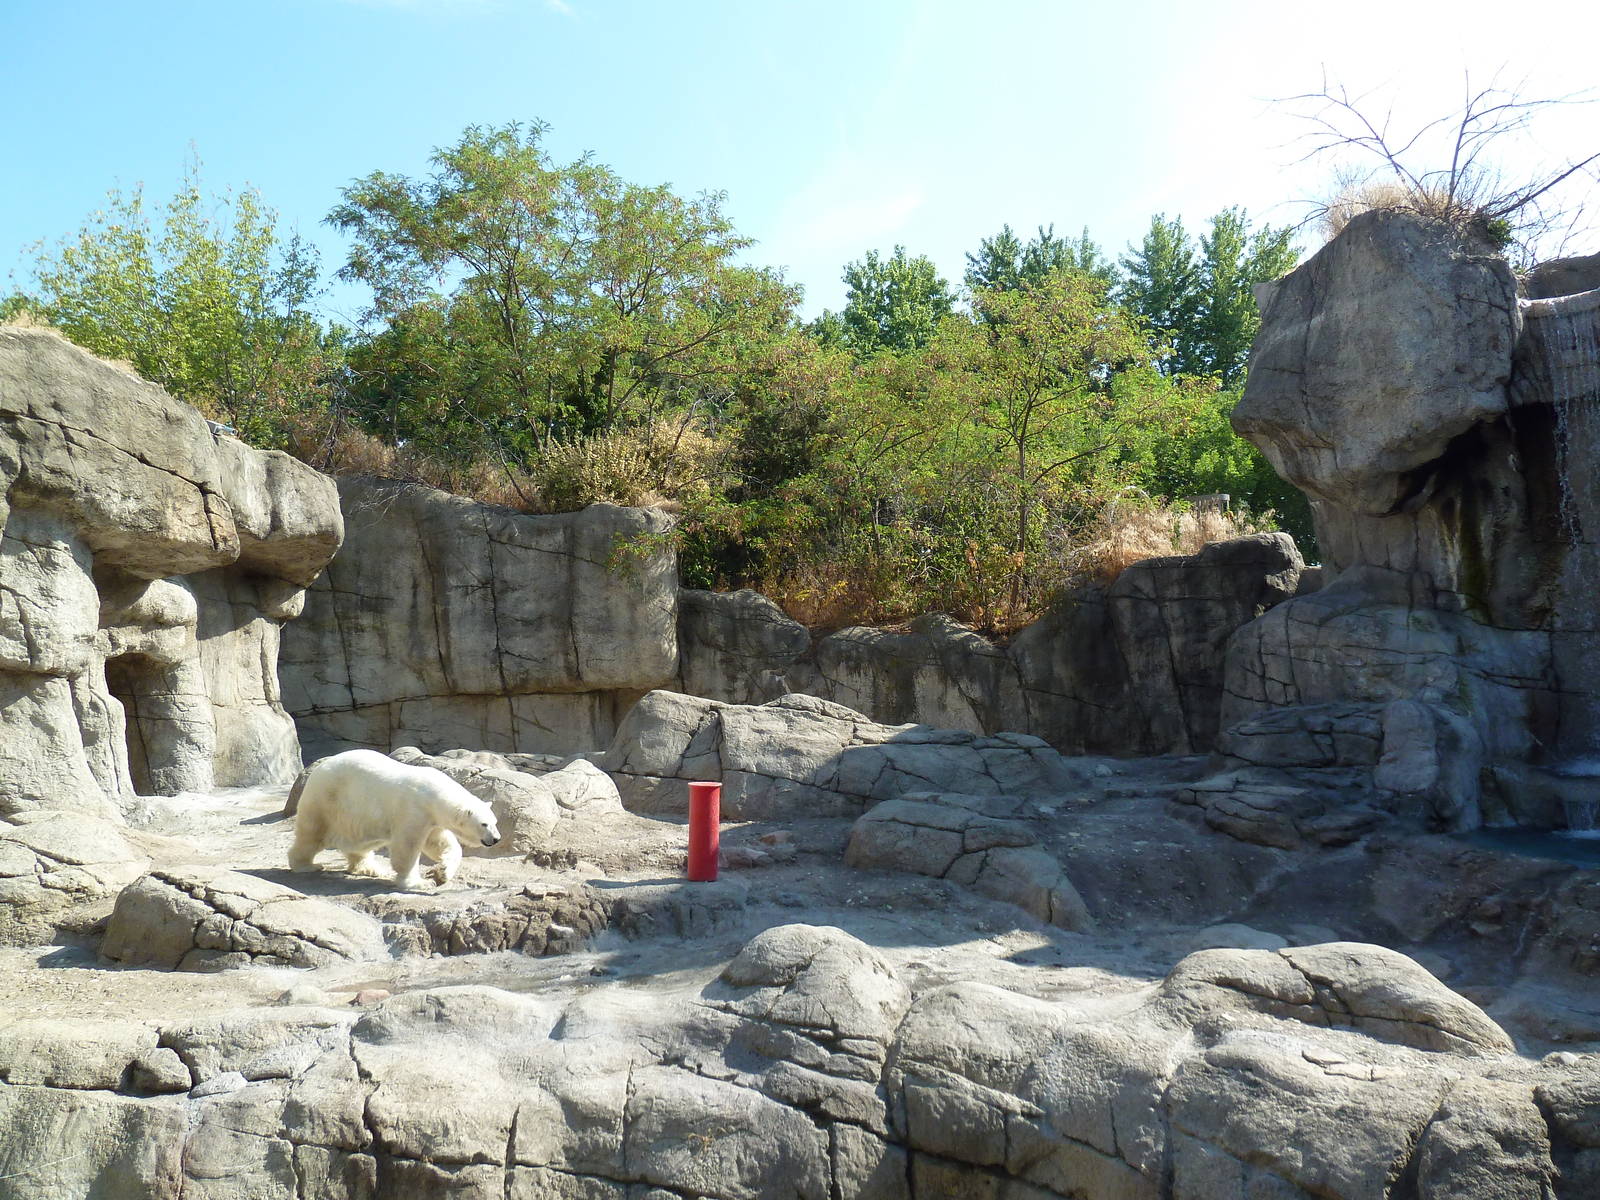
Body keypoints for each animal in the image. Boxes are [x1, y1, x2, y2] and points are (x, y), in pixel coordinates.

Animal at [287, 748, 501, 891]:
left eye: (495, 822)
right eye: (484, 824)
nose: (496, 839)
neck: (434, 795)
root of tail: (317, 769)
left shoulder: (431, 819)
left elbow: (439, 843)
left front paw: (443, 872)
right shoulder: (413, 810)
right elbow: (407, 847)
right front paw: (420, 882)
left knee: (359, 844)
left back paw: (370, 868)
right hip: (326, 800)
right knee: (312, 834)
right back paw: (306, 865)